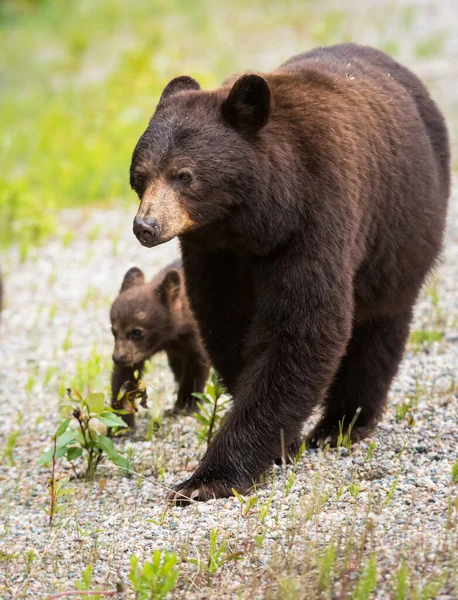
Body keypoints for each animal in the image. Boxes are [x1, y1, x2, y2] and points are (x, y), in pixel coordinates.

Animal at [110, 260, 210, 428]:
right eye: (113, 330)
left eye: (136, 332)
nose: (117, 357)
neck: (169, 337)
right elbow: (124, 379)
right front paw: (121, 423)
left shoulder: (194, 337)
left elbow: (197, 366)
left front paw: (188, 405)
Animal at [130, 43, 450, 502]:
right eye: (140, 177)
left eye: (184, 175)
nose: (146, 226)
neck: (253, 221)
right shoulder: (212, 252)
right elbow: (227, 325)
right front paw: (280, 442)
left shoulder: (313, 222)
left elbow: (302, 327)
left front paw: (210, 478)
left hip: (402, 227)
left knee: (380, 323)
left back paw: (343, 424)